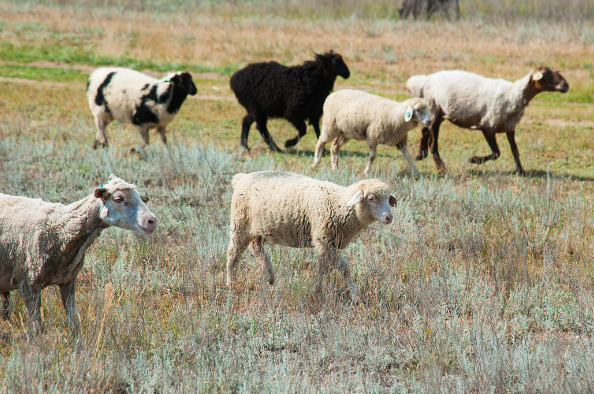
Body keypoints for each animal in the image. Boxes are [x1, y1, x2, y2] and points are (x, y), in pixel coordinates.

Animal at [0, 175, 157, 336]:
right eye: (118, 199)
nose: (152, 221)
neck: (60, 228)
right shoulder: (28, 283)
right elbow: (38, 327)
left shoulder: (68, 281)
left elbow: (74, 323)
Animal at [224, 171, 396, 300]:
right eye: (371, 198)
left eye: (388, 199)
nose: (389, 217)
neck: (339, 204)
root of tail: (241, 177)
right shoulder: (324, 240)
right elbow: (344, 269)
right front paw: (355, 296)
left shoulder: (327, 243)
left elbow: (324, 268)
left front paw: (317, 289)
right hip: (240, 224)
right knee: (233, 254)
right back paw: (231, 284)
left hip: (257, 229)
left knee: (256, 248)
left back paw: (269, 277)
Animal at [404, 66, 568, 174]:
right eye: (547, 75)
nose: (566, 85)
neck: (513, 95)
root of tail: (425, 80)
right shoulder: (488, 125)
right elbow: (496, 153)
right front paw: (473, 160)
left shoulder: (510, 126)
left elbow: (515, 150)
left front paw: (521, 171)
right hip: (435, 109)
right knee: (433, 144)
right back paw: (442, 168)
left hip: (436, 112)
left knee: (424, 130)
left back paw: (421, 154)